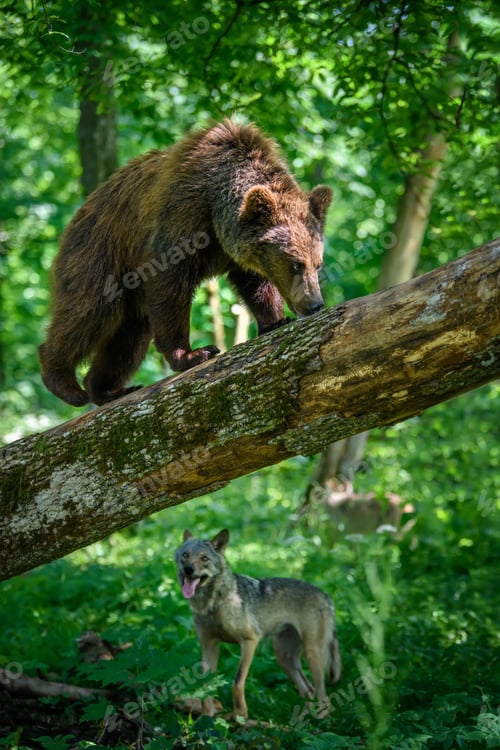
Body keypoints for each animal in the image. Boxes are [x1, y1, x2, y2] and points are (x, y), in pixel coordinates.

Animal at [39, 119, 333, 406]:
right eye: (296, 263)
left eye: (317, 263)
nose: (315, 304)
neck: (218, 209)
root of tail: (80, 211)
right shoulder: (183, 216)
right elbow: (170, 286)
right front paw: (194, 353)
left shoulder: (238, 250)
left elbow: (255, 283)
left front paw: (275, 321)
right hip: (100, 252)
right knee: (89, 310)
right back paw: (65, 383)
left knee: (129, 335)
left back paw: (106, 389)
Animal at [175, 529, 341, 719]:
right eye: (185, 555)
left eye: (204, 558)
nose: (188, 569)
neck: (213, 603)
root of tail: (326, 596)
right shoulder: (208, 646)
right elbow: (205, 687)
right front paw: (207, 717)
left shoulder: (250, 641)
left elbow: (237, 682)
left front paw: (240, 716)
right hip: (284, 658)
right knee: (308, 690)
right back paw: (302, 719)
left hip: (312, 655)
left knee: (322, 694)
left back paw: (320, 719)